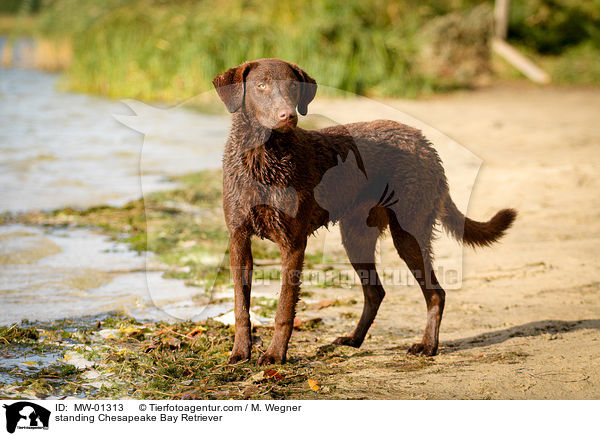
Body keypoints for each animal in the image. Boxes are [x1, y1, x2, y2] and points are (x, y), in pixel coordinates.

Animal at [212, 58, 516, 364]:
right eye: (261, 86)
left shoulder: (293, 243)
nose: (288, 116)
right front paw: (240, 352)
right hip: (357, 237)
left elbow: (284, 307)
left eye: (293, 86)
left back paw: (427, 346)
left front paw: (275, 355)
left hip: (409, 233)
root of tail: (425, 144)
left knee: (435, 294)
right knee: (375, 292)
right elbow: (240, 305)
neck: (264, 158)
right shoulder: (238, 239)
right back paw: (354, 339)